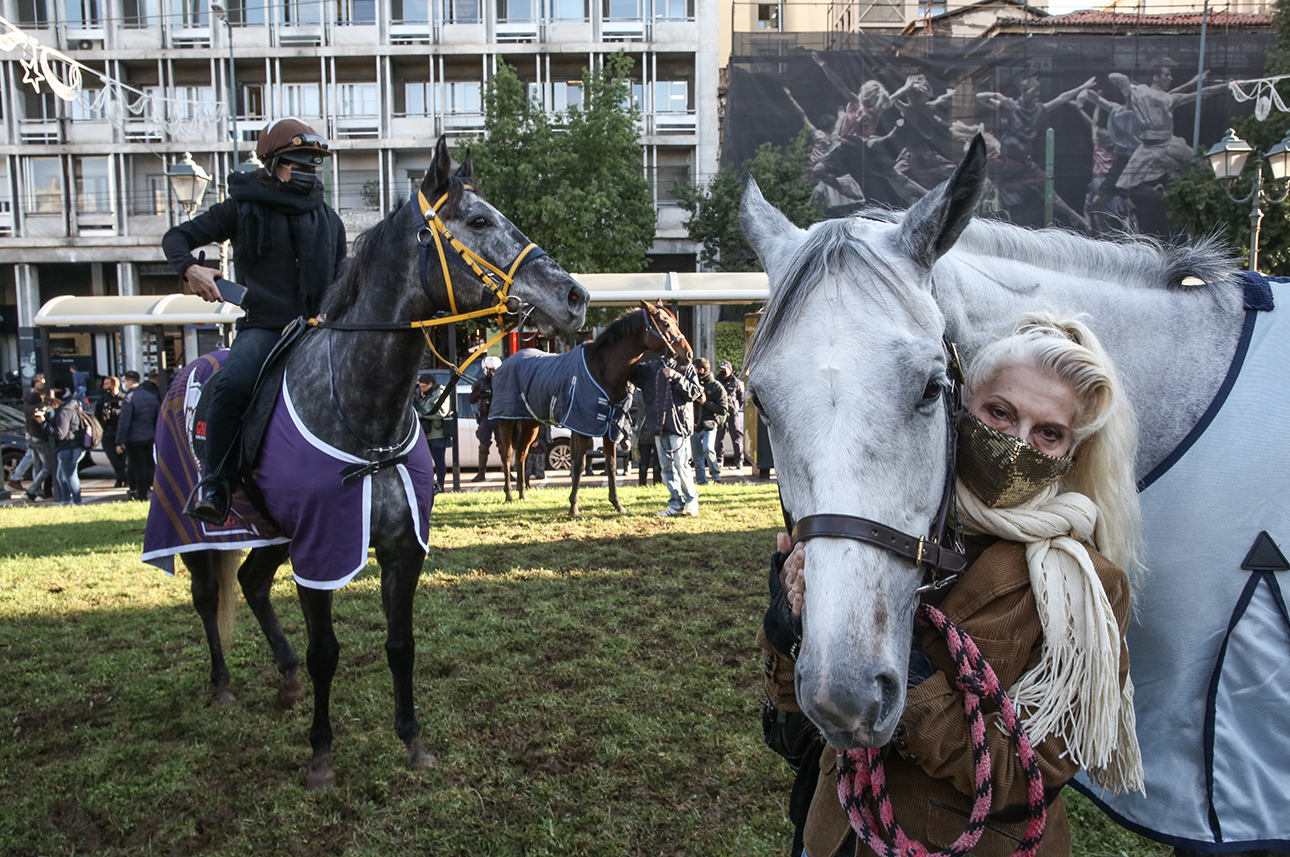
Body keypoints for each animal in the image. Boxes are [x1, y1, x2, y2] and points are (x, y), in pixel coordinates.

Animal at [142, 135, 589, 789]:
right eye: (479, 221)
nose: (576, 297)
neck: (365, 413)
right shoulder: (321, 549)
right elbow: (325, 651)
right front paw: (321, 755)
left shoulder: (400, 547)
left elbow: (400, 644)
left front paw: (412, 740)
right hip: (193, 523)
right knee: (207, 594)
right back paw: (223, 684)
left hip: (274, 530)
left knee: (251, 584)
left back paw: (285, 678)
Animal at [492, 300, 692, 515]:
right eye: (665, 323)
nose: (688, 354)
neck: (602, 369)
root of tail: (504, 364)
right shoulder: (582, 427)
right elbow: (578, 465)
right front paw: (573, 507)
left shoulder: (610, 428)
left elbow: (611, 465)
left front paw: (617, 503)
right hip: (506, 420)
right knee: (507, 454)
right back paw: (509, 494)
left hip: (531, 423)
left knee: (521, 454)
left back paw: (522, 494)